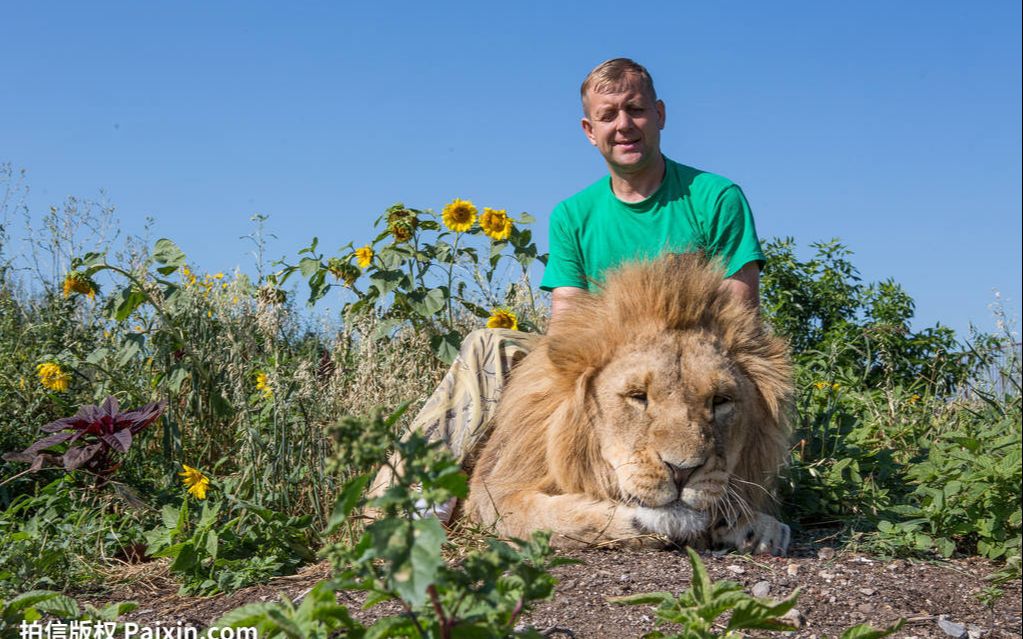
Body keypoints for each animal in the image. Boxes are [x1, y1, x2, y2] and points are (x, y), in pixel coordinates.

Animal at [464, 254, 789, 552]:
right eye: (638, 396)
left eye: (720, 401)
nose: (682, 471)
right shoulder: (490, 491)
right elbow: (546, 518)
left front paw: (757, 528)